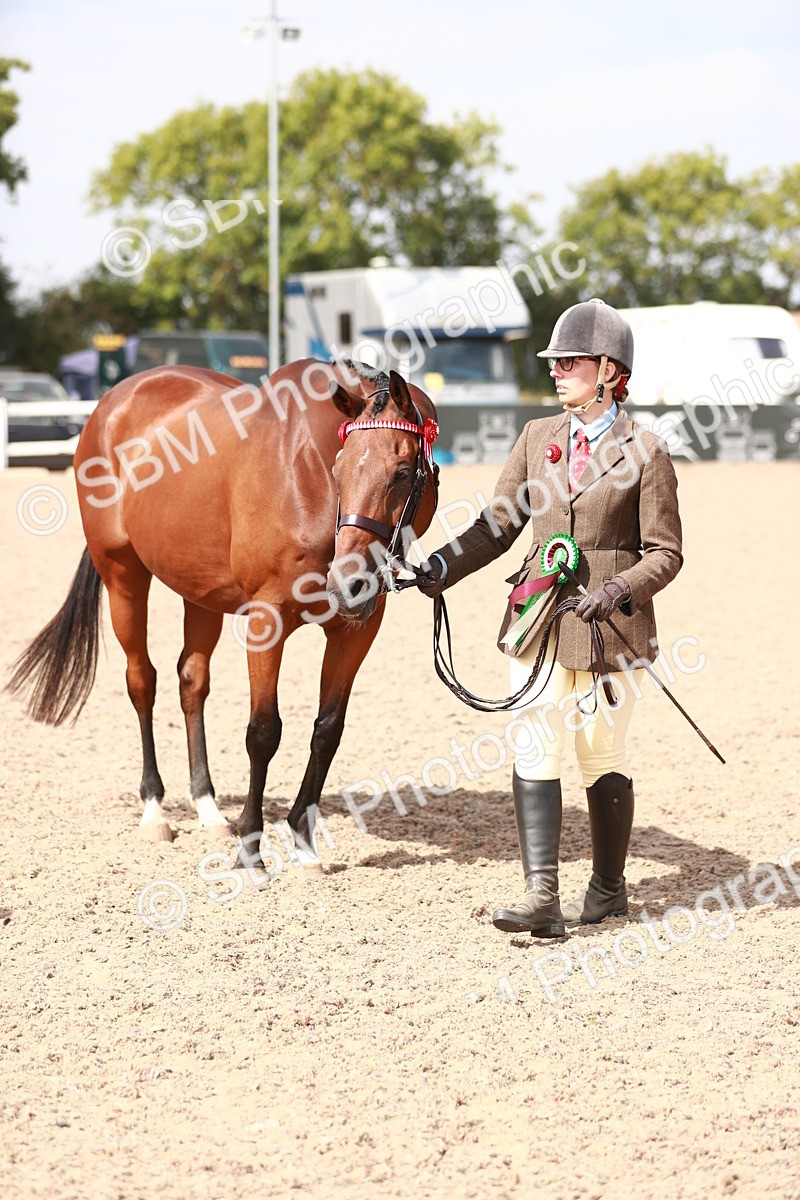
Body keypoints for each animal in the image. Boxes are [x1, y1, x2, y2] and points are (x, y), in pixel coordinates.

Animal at [7, 358, 439, 865]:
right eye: (340, 467)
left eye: (404, 472)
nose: (348, 585)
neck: (305, 473)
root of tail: (113, 402)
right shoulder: (267, 619)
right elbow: (263, 732)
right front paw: (250, 851)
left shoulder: (357, 630)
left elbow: (327, 730)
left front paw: (303, 843)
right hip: (123, 577)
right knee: (142, 680)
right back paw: (154, 811)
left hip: (199, 594)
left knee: (191, 682)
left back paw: (208, 809)